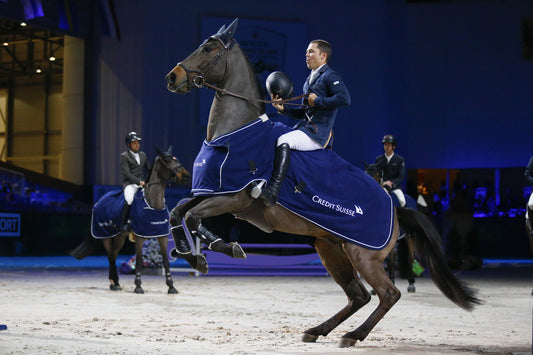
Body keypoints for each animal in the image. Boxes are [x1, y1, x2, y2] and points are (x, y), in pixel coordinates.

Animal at [71, 147, 189, 294]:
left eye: (176, 159)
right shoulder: (139, 237)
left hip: (120, 237)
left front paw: (171, 286)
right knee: (110, 256)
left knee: (113, 254)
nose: (186, 176)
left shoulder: (162, 236)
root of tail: (99, 201)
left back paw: (114, 282)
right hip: (106, 236)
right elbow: (138, 260)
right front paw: (138, 286)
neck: (153, 203)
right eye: (167, 161)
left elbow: (166, 260)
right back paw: (114, 283)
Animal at [164, 18, 480, 350]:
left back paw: (353, 335)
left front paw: (219, 250)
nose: (173, 77)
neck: (233, 132)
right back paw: (318, 330)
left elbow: (193, 217)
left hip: (363, 255)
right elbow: (178, 212)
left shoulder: (235, 198)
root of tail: (395, 210)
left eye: (208, 48)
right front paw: (190, 254)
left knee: (387, 294)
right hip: (331, 250)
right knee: (359, 295)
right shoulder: (211, 191)